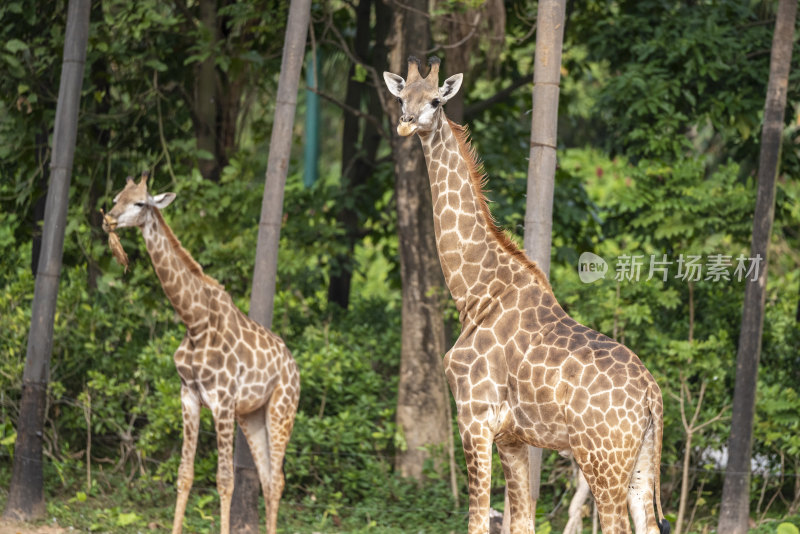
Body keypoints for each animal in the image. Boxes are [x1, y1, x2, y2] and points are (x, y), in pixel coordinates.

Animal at [101, 175, 300, 534]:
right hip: (252, 416)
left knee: (277, 480)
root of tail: (294, 366)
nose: (108, 219)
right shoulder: (189, 397)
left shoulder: (222, 401)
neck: (194, 321)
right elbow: (184, 475)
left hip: (282, 409)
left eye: (140, 203)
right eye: (116, 197)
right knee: (267, 478)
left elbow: (224, 480)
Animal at [384, 55, 672, 534]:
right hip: (640, 461)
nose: (406, 124)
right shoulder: (513, 438)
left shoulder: (474, 417)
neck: (475, 295)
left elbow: (478, 521)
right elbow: (521, 521)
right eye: (402, 96)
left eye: (436, 100)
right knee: (647, 523)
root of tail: (653, 397)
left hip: (601, 459)